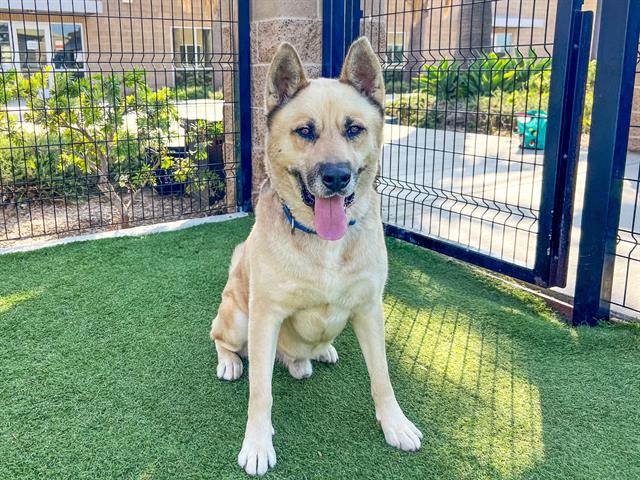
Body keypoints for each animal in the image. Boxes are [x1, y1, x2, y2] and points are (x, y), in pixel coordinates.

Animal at [209, 37, 420, 476]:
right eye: (305, 131)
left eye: (354, 129)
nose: (336, 176)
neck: (323, 243)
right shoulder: (265, 316)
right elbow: (261, 392)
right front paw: (257, 444)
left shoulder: (370, 310)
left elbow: (382, 377)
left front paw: (395, 424)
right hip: (238, 319)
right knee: (219, 337)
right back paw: (230, 362)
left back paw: (317, 353)